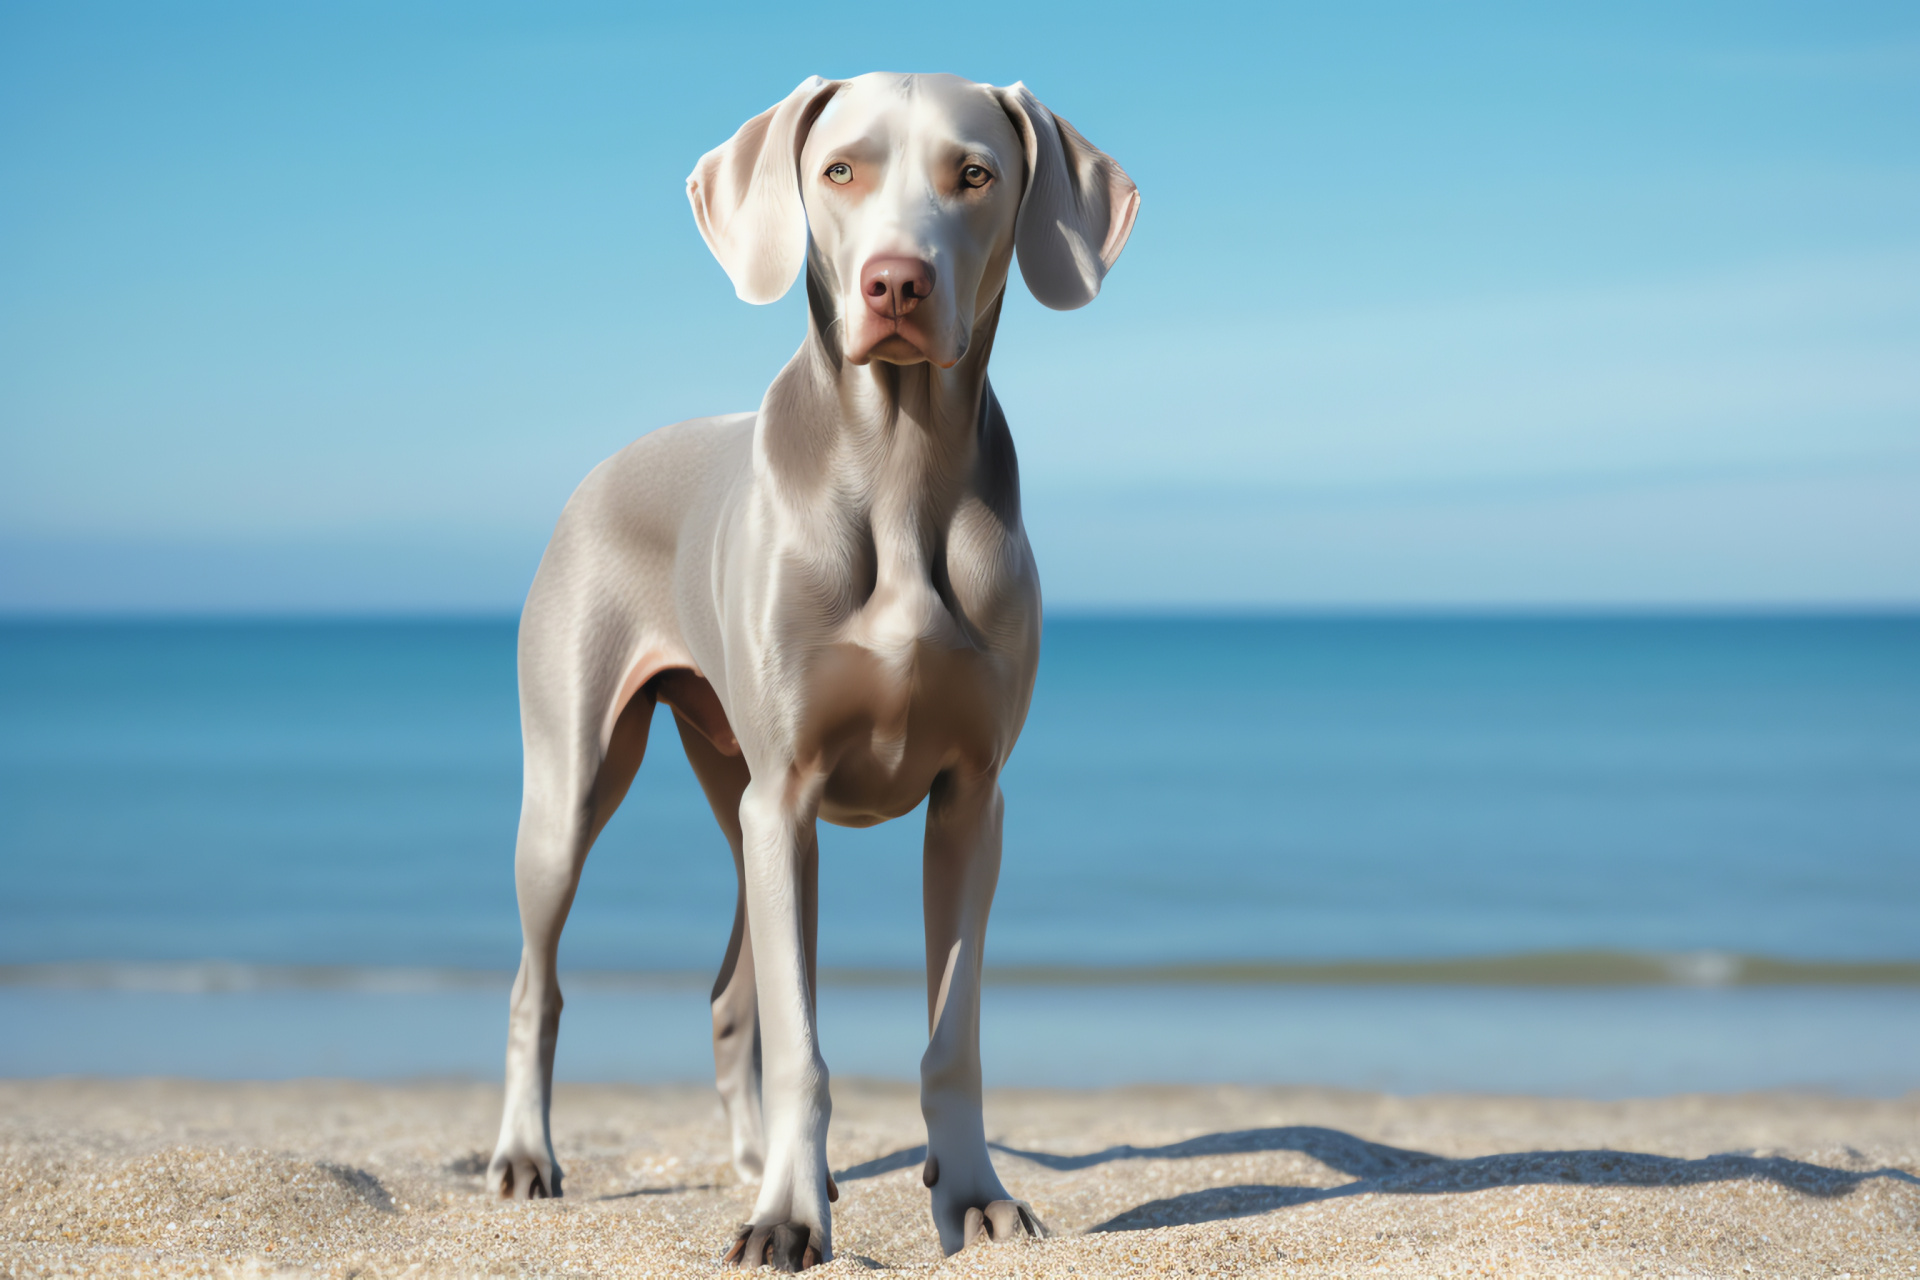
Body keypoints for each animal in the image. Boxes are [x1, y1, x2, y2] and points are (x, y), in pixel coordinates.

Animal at [487, 72, 1128, 1274]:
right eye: (840, 170)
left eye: (975, 173)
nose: (896, 281)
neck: (898, 463)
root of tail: (605, 465)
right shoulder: (785, 796)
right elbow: (804, 1041)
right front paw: (787, 1216)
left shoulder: (969, 800)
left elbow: (951, 1034)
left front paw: (976, 1197)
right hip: (578, 784)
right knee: (537, 977)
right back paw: (526, 1156)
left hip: (729, 781)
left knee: (733, 989)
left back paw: (758, 1157)